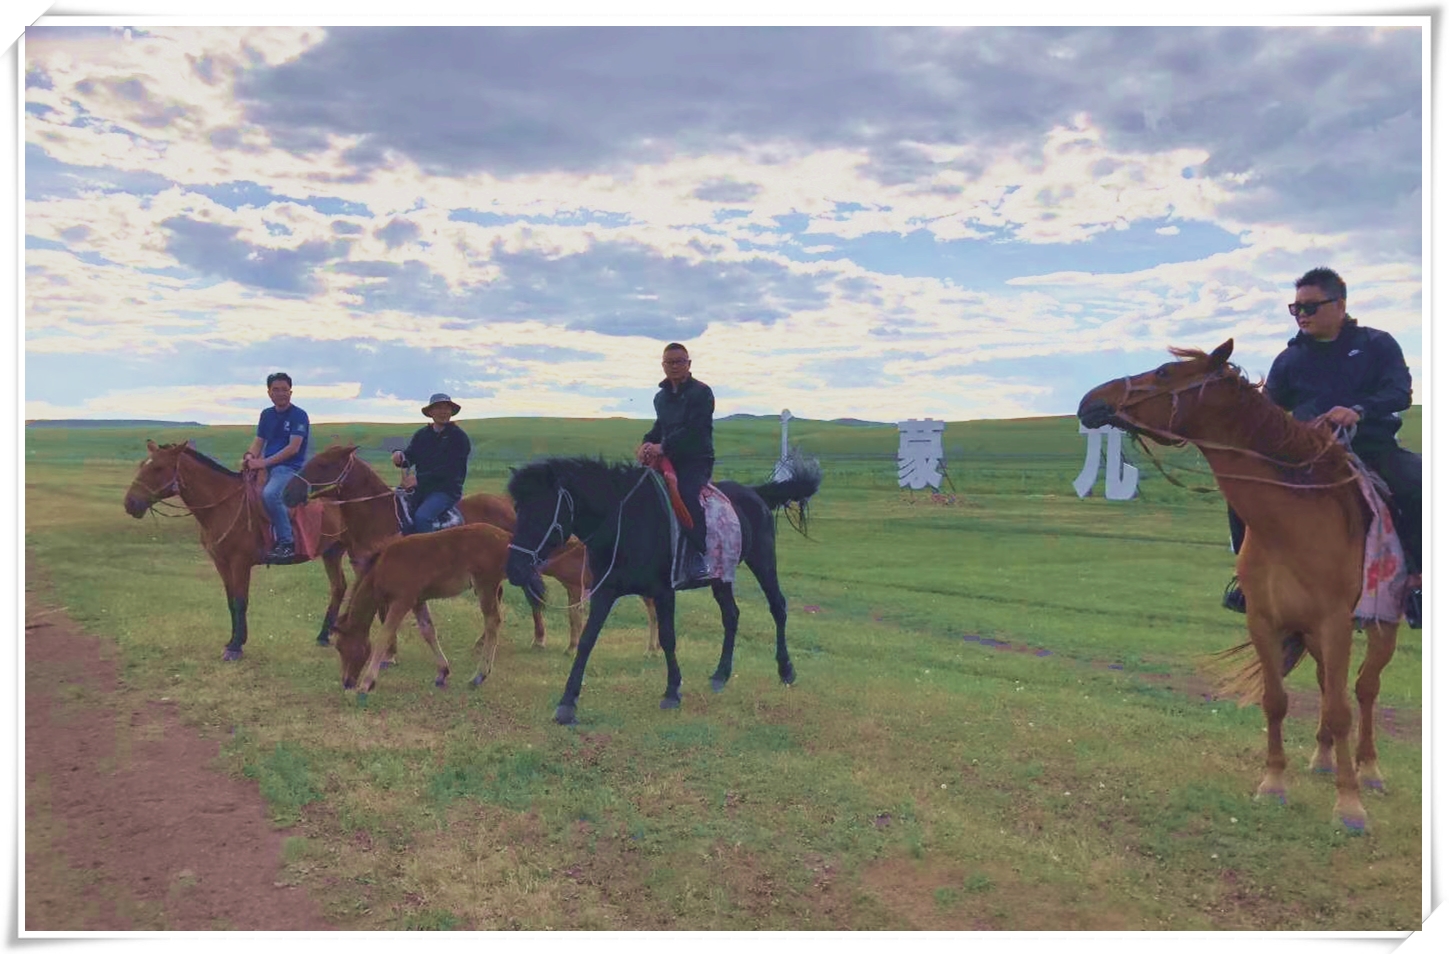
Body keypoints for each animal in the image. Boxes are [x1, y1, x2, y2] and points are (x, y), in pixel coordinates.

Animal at [122, 440, 364, 661]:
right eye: (142, 464)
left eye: (158, 468)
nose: (130, 503)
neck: (221, 506)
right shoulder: (221, 562)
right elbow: (231, 601)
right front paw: (232, 640)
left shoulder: (240, 563)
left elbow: (241, 602)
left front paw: (236, 647)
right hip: (331, 553)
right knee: (339, 587)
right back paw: (323, 636)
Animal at [330, 523, 515, 698]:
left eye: (340, 647)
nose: (346, 682)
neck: (382, 567)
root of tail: (506, 536)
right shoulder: (418, 601)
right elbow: (428, 631)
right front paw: (442, 672)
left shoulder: (402, 601)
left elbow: (384, 635)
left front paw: (366, 683)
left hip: (486, 584)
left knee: (492, 622)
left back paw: (478, 676)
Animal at [504, 452, 823, 726]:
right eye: (518, 508)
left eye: (543, 510)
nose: (515, 569)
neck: (626, 522)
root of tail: (755, 494)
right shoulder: (605, 591)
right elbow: (587, 640)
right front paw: (567, 703)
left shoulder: (663, 591)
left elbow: (668, 638)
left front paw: (672, 691)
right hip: (722, 578)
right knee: (731, 616)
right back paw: (721, 674)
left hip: (763, 561)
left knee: (777, 607)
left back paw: (786, 669)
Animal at [1077, 339, 1403, 831]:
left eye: (1165, 371)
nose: (1090, 401)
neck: (1293, 524)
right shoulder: (1264, 621)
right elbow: (1277, 700)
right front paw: (1273, 784)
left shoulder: (1336, 623)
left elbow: (1342, 710)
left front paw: (1349, 805)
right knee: (1329, 685)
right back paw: (1323, 759)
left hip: (1380, 625)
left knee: (1365, 689)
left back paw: (1369, 769)